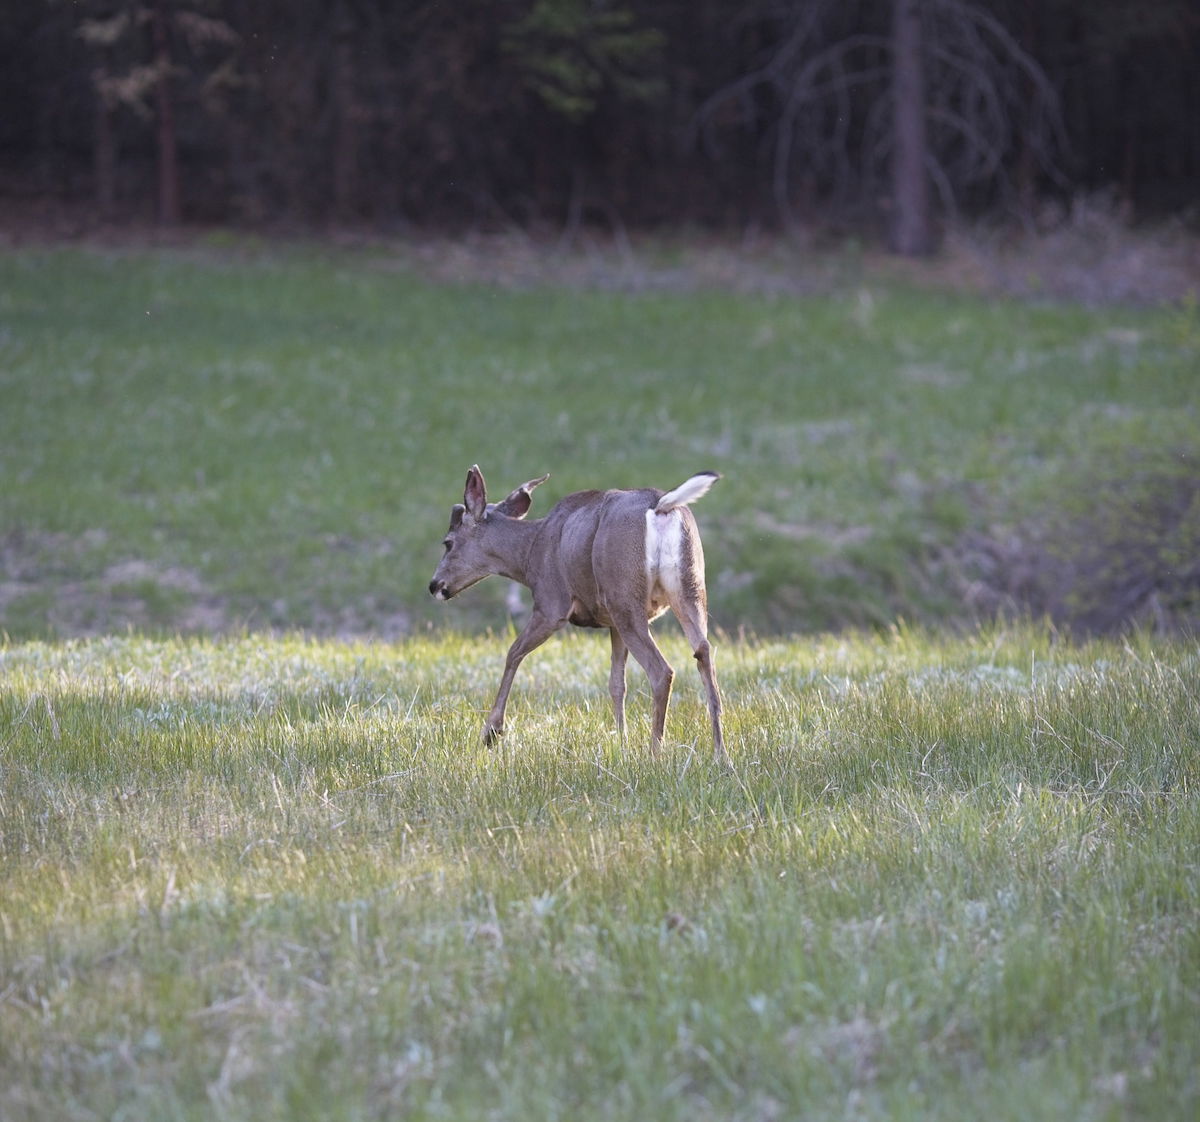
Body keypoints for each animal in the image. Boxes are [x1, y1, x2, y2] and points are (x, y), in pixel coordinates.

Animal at [432, 463, 729, 763]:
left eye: (448, 542)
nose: (435, 585)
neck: (530, 554)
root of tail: (661, 506)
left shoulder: (551, 603)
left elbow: (513, 652)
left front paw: (491, 731)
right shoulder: (611, 622)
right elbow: (616, 683)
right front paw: (622, 743)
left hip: (625, 596)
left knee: (662, 671)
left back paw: (655, 754)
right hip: (689, 585)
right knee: (704, 652)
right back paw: (721, 754)